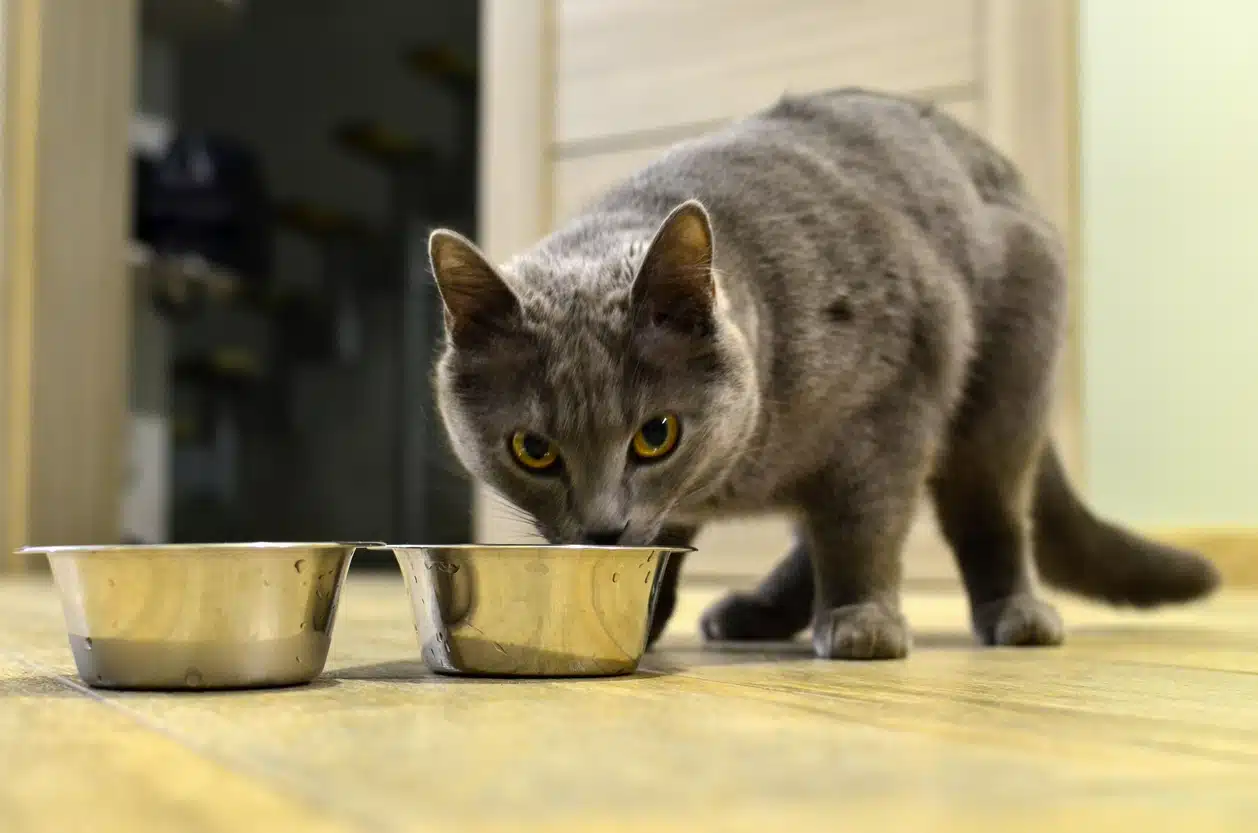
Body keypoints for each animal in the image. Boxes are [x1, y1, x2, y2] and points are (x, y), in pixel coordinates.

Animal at [425, 84, 1217, 659]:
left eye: (656, 434)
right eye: (533, 449)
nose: (601, 527)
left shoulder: (890, 401)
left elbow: (863, 527)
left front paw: (862, 618)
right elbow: (675, 542)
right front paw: (637, 615)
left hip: (1004, 379)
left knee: (986, 506)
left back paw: (1015, 613)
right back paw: (753, 612)